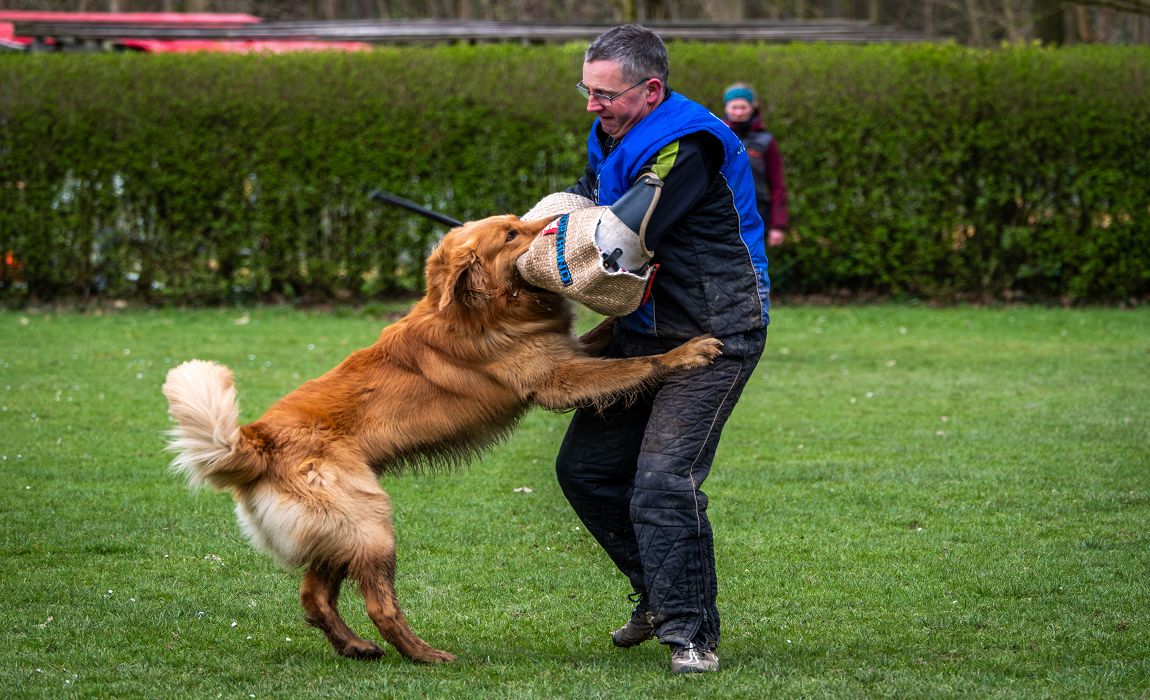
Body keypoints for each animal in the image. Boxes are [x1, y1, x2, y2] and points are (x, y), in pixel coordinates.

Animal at [162, 212, 717, 662]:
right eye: (512, 234)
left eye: (520, 220)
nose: (557, 223)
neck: (483, 304)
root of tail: (255, 440)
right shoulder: (557, 381)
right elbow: (633, 366)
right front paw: (684, 353)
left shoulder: (567, 353)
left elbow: (603, 339)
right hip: (371, 524)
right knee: (378, 604)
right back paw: (426, 655)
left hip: (342, 531)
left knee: (314, 598)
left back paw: (356, 647)